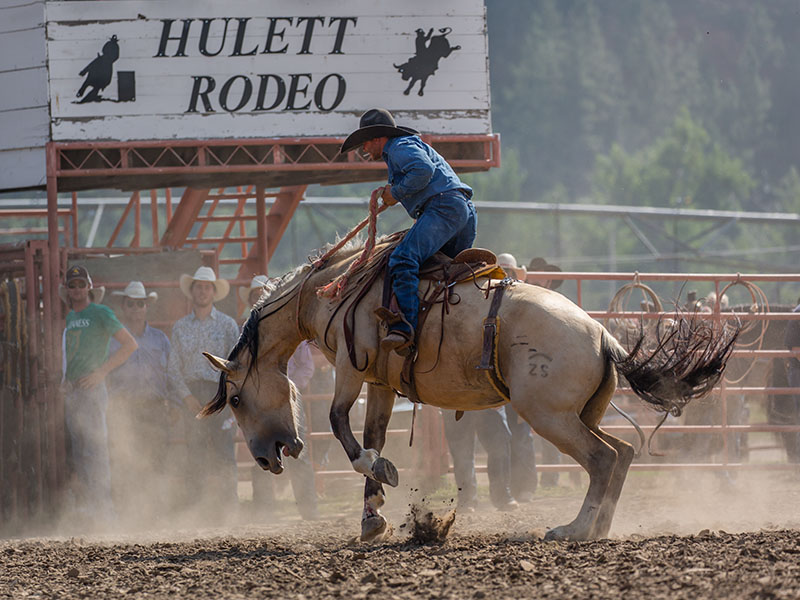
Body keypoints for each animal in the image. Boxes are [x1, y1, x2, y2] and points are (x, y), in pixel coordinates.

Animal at [200, 236, 736, 544]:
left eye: (236, 399)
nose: (265, 459)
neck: (332, 289)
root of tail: (604, 336)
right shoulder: (380, 382)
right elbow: (373, 435)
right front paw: (373, 516)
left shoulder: (352, 366)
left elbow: (338, 423)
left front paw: (379, 477)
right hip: (581, 413)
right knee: (622, 453)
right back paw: (600, 527)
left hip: (550, 416)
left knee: (603, 458)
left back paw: (574, 529)